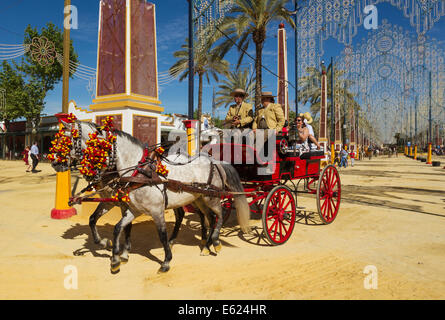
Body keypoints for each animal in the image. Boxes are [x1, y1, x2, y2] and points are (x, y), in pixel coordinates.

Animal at [54, 121, 250, 274]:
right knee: (207, 217)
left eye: (67, 142)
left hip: (212, 198)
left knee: (219, 216)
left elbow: (161, 235)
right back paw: (206, 245)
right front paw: (115, 257)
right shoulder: (131, 208)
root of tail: (215, 161)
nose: (56, 163)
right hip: (199, 198)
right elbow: (115, 227)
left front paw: (165, 261)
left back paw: (215, 241)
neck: (138, 172)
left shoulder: (155, 211)